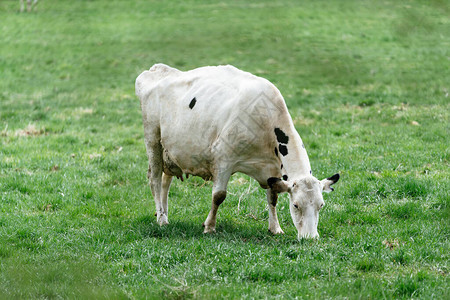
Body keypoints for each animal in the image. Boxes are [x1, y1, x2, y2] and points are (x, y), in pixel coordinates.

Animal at [135, 63, 340, 239]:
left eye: (321, 205)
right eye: (296, 205)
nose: (310, 238)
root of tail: (157, 70)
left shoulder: (273, 170)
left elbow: (273, 198)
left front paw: (275, 228)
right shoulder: (223, 159)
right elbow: (219, 196)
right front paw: (209, 227)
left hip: (171, 152)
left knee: (165, 182)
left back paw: (164, 214)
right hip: (153, 140)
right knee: (154, 179)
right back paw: (161, 219)